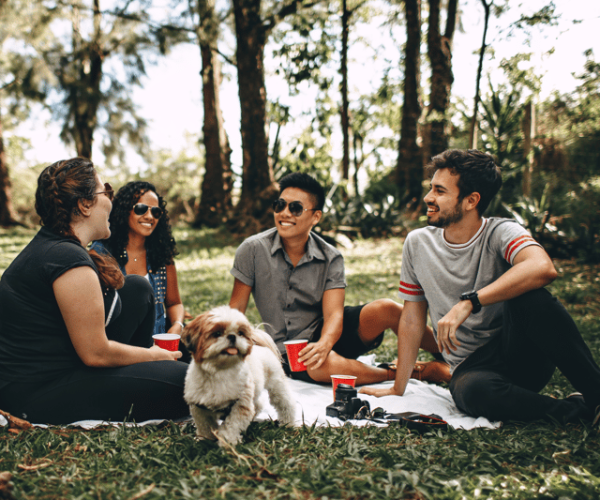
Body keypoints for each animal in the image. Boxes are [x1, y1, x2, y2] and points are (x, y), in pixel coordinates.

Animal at [182, 304, 296, 446]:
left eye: (240, 333)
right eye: (217, 333)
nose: (232, 336)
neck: (220, 371)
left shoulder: (240, 404)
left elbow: (232, 425)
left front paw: (228, 442)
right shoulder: (199, 407)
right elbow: (205, 425)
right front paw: (205, 439)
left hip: (277, 386)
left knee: (286, 404)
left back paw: (288, 423)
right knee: (258, 405)